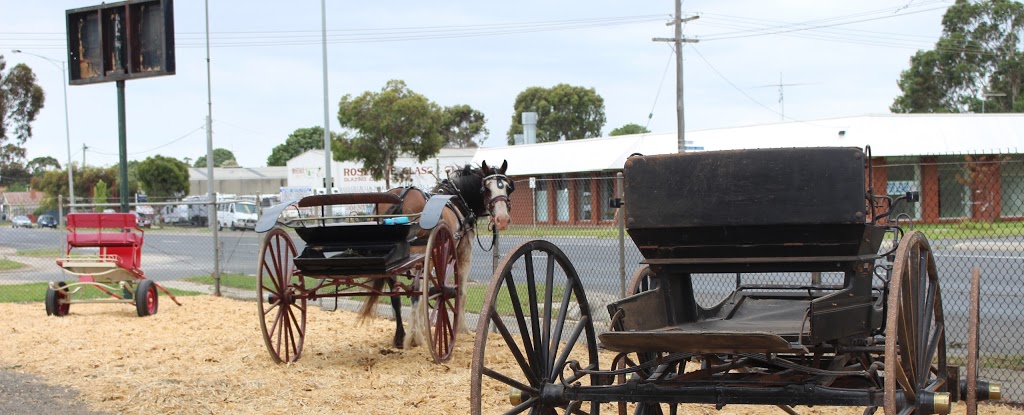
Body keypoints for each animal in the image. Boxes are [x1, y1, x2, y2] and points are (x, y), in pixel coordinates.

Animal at [358, 158, 512, 348]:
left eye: (507, 187)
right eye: (487, 189)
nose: (502, 219)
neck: (458, 200)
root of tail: (400, 199)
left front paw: (424, 327)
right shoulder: (462, 253)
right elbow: (459, 291)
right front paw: (461, 329)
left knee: (397, 297)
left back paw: (401, 337)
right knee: (416, 294)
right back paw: (416, 337)